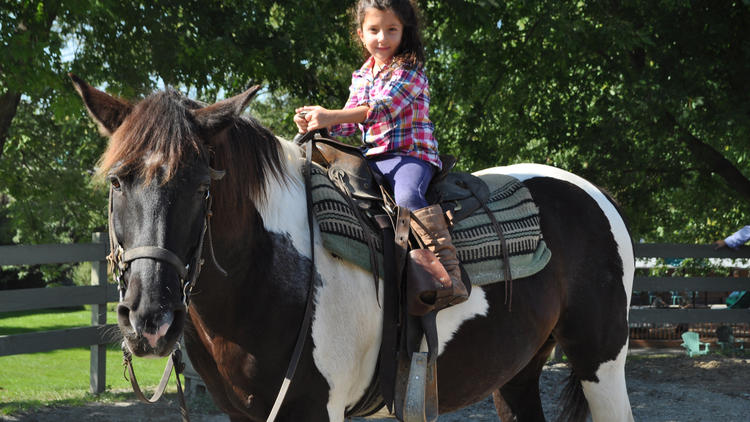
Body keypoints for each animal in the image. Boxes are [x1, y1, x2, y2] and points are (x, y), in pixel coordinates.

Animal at [69, 76, 636, 422]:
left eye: (202, 185)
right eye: (117, 182)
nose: (150, 319)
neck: (272, 273)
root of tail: (594, 195)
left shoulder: (316, 407)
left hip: (602, 362)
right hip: (517, 373)